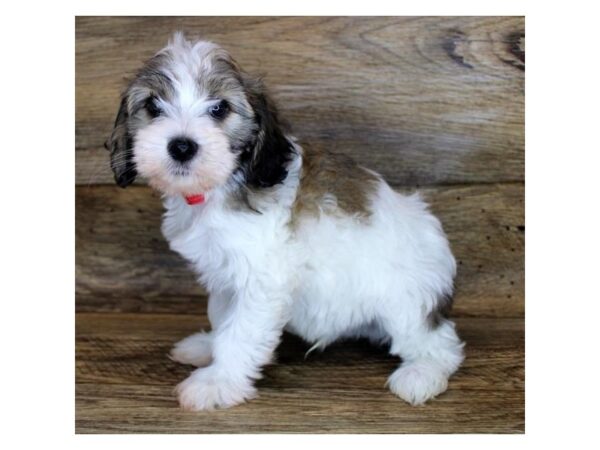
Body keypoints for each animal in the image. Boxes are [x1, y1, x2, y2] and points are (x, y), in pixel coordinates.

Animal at [106, 32, 464, 412]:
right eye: (152, 106)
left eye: (220, 108)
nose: (182, 146)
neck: (224, 185)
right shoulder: (225, 274)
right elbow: (223, 316)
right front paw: (209, 347)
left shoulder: (262, 278)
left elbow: (240, 331)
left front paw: (218, 382)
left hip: (406, 299)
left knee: (439, 341)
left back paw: (422, 374)